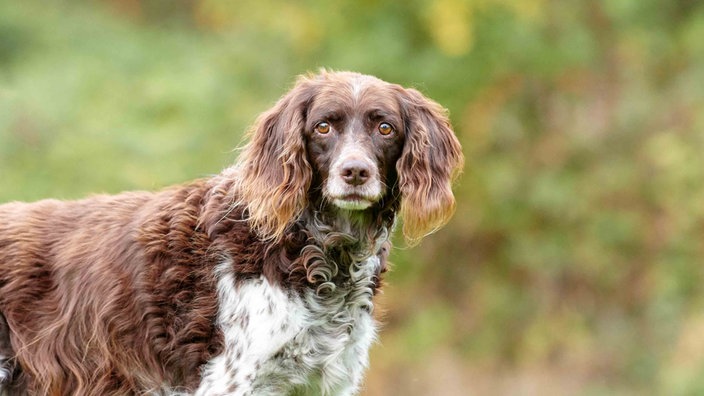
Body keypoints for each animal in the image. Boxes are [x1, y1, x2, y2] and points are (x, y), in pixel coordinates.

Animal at [0, 72, 464, 396]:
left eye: (385, 128)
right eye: (323, 127)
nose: (355, 172)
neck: (313, 252)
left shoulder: (325, 381)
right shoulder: (232, 378)